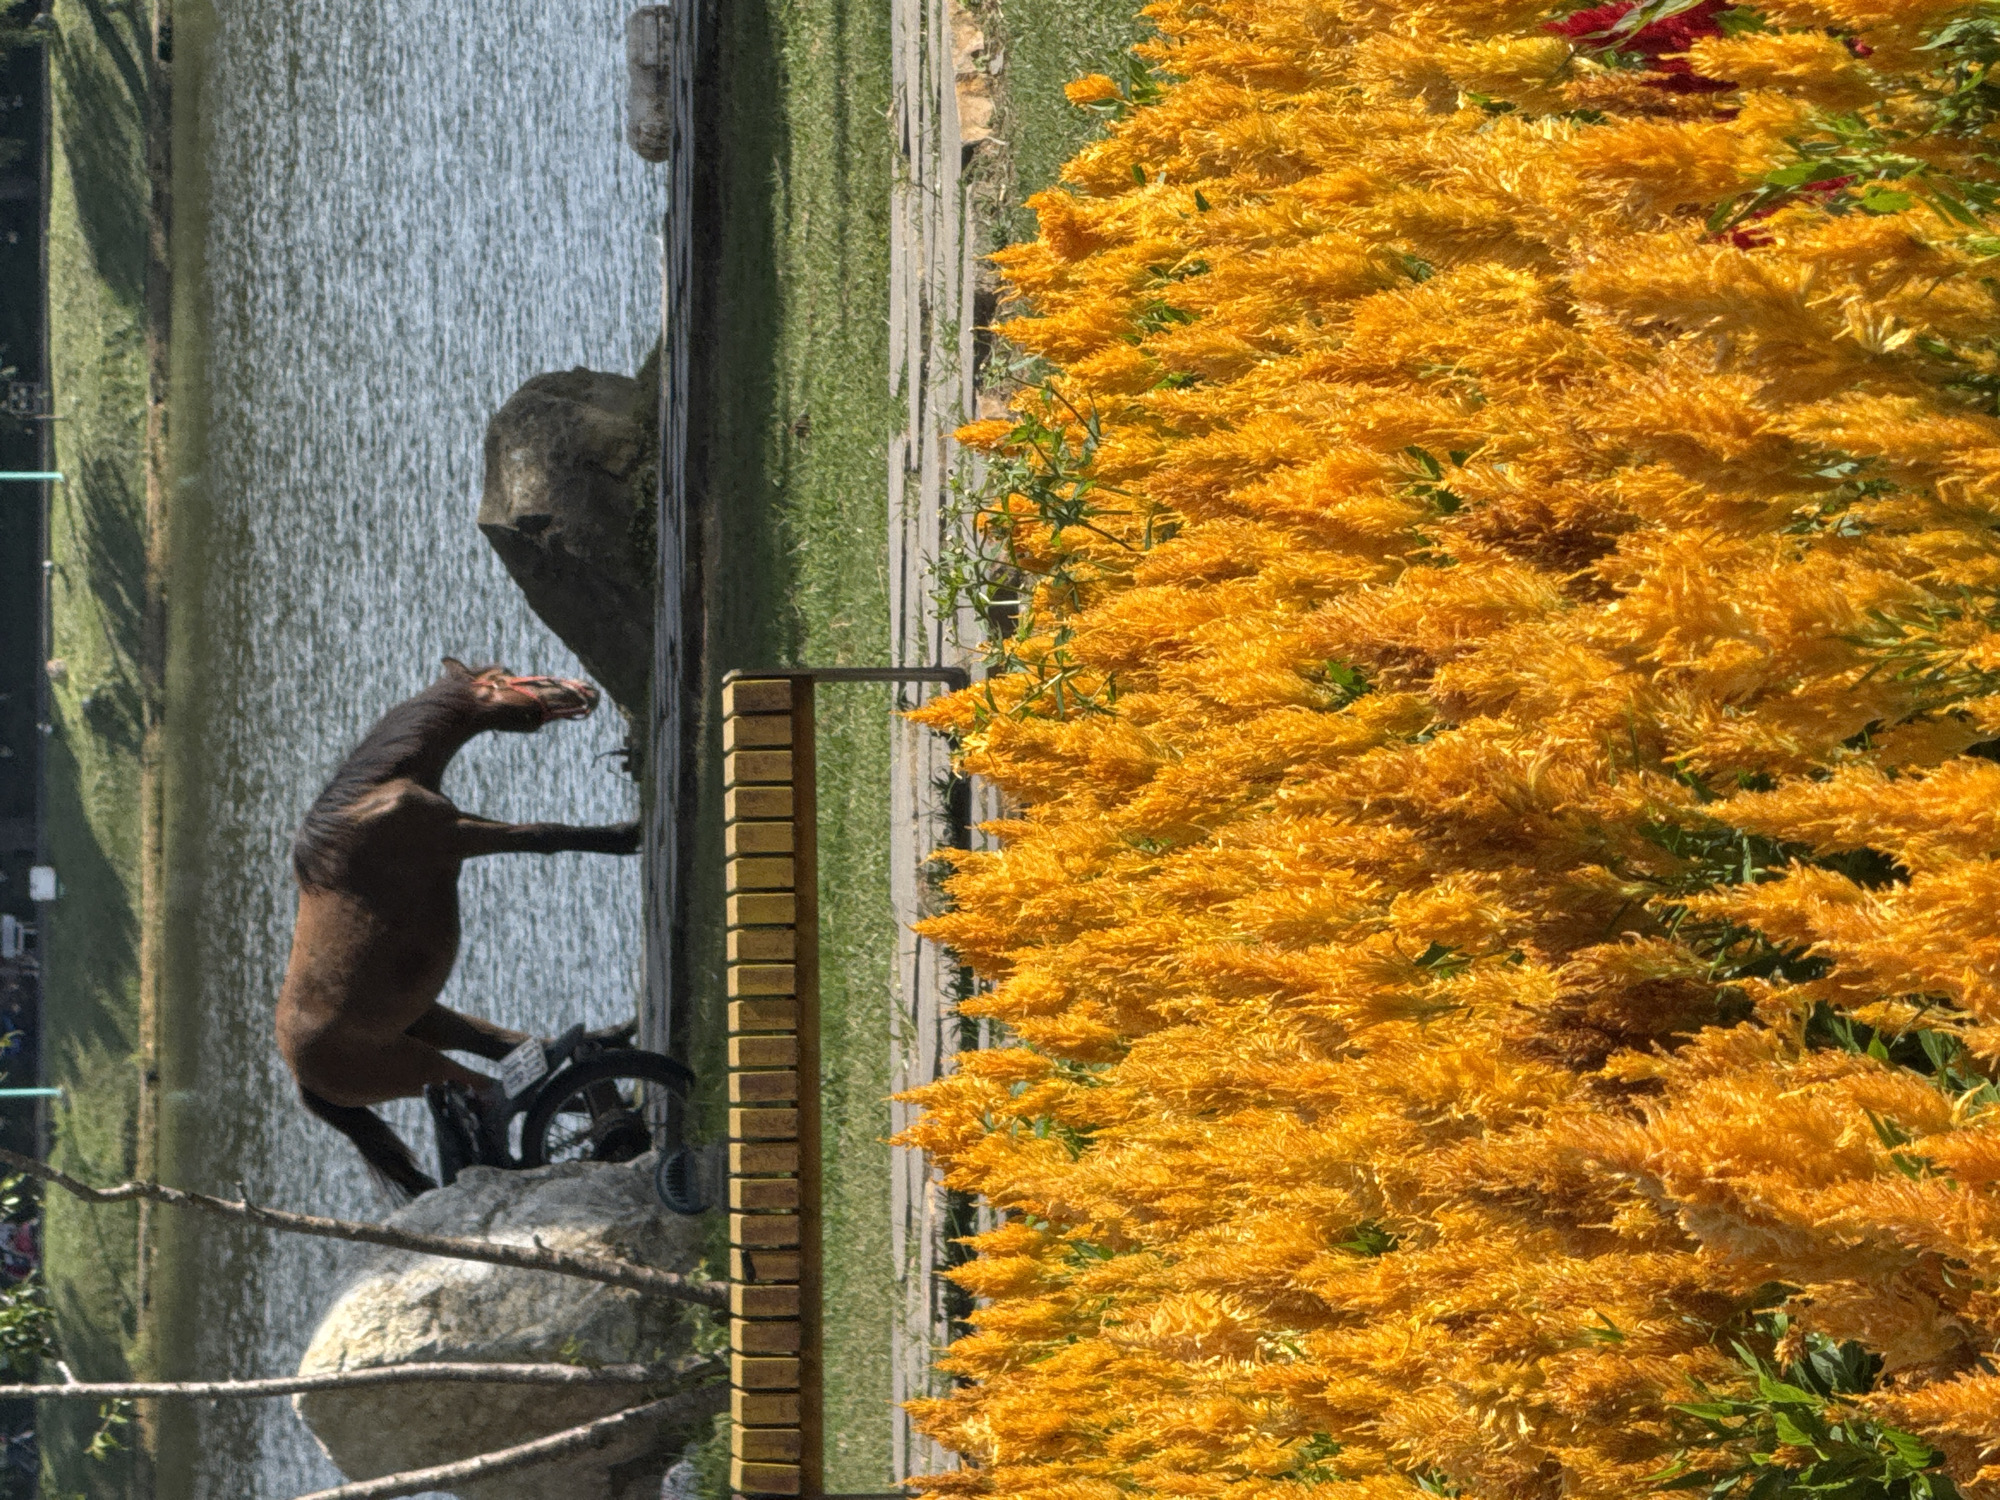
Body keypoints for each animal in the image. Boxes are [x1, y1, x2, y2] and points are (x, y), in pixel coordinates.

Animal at [277, 657, 641, 1195]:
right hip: (418, 1063)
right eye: (508, 679)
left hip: (433, 1021)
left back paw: (614, 1043)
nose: (582, 690)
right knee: (498, 1091)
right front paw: (627, 834)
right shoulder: (459, 835)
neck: (368, 802)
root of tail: (301, 1077)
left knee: (506, 1047)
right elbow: (544, 835)